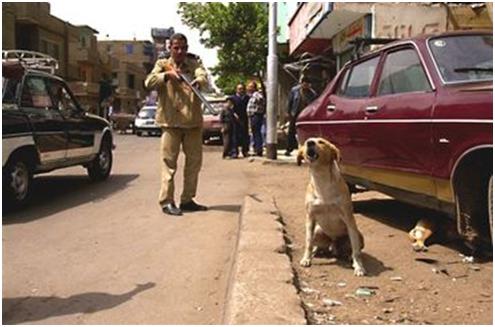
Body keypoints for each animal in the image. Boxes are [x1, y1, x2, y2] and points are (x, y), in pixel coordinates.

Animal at [296, 137, 366, 278]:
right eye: (306, 141)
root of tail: (334, 243)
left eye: (321, 142)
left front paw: (359, 266)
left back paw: (349, 256)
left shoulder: (349, 219)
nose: (310, 142)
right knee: (316, 244)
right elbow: (308, 242)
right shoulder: (310, 218)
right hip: (318, 231)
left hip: (359, 235)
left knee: (353, 248)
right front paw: (306, 258)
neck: (321, 180)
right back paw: (317, 251)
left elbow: (356, 249)